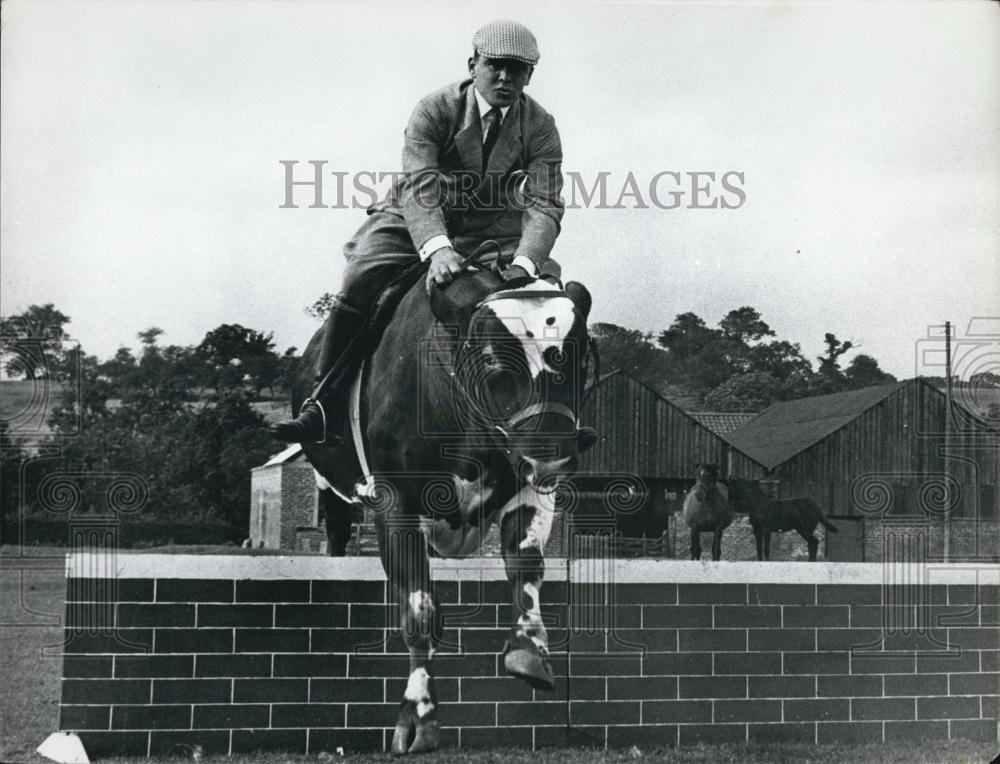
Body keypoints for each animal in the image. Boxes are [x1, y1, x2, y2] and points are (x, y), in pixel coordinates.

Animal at [294, 268, 592, 752]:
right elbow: (420, 609)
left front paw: (529, 650)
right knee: (336, 533)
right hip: (330, 487)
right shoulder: (396, 502)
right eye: (492, 361)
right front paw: (418, 716)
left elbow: (526, 566)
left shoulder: (528, 488)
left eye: (580, 356)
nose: (554, 455)